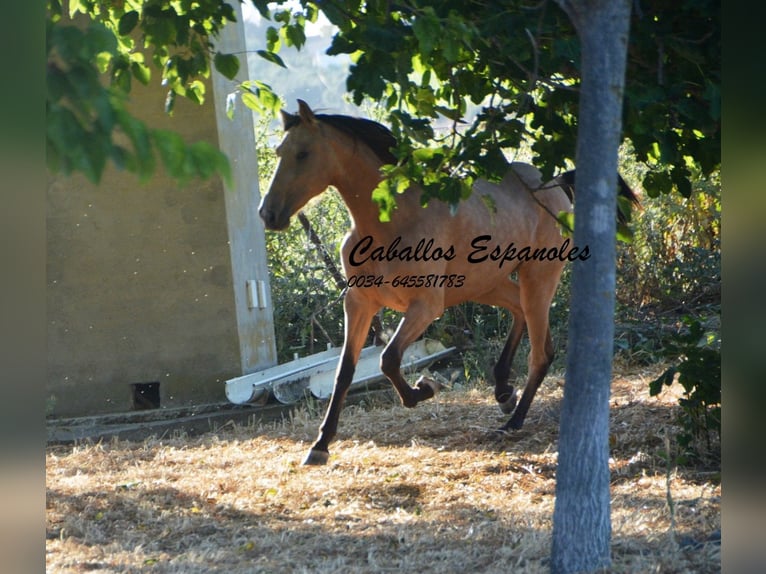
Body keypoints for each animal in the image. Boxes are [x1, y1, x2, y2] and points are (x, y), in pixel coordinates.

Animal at [260, 100, 640, 468]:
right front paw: (320, 446)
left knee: (541, 351)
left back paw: (512, 421)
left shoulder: (425, 307)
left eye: (303, 153)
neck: (392, 220)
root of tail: (552, 185)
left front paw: (424, 389)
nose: (268, 214)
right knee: (519, 315)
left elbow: (388, 359)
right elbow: (345, 372)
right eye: (279, 151)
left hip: (537, 278)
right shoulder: (358, 303)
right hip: (488, 284)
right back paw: (504, 392)